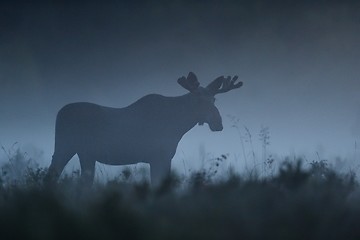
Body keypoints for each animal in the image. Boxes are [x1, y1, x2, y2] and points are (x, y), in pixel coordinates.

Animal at [44, 72, 242, 187]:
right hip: (65, 146)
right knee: (51, 174)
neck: (178, 124)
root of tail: (59, 113)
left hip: (86, 154)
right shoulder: (158, 157)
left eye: (214, 100)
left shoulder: (162, 158)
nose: (218, 123)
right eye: (199, 100)